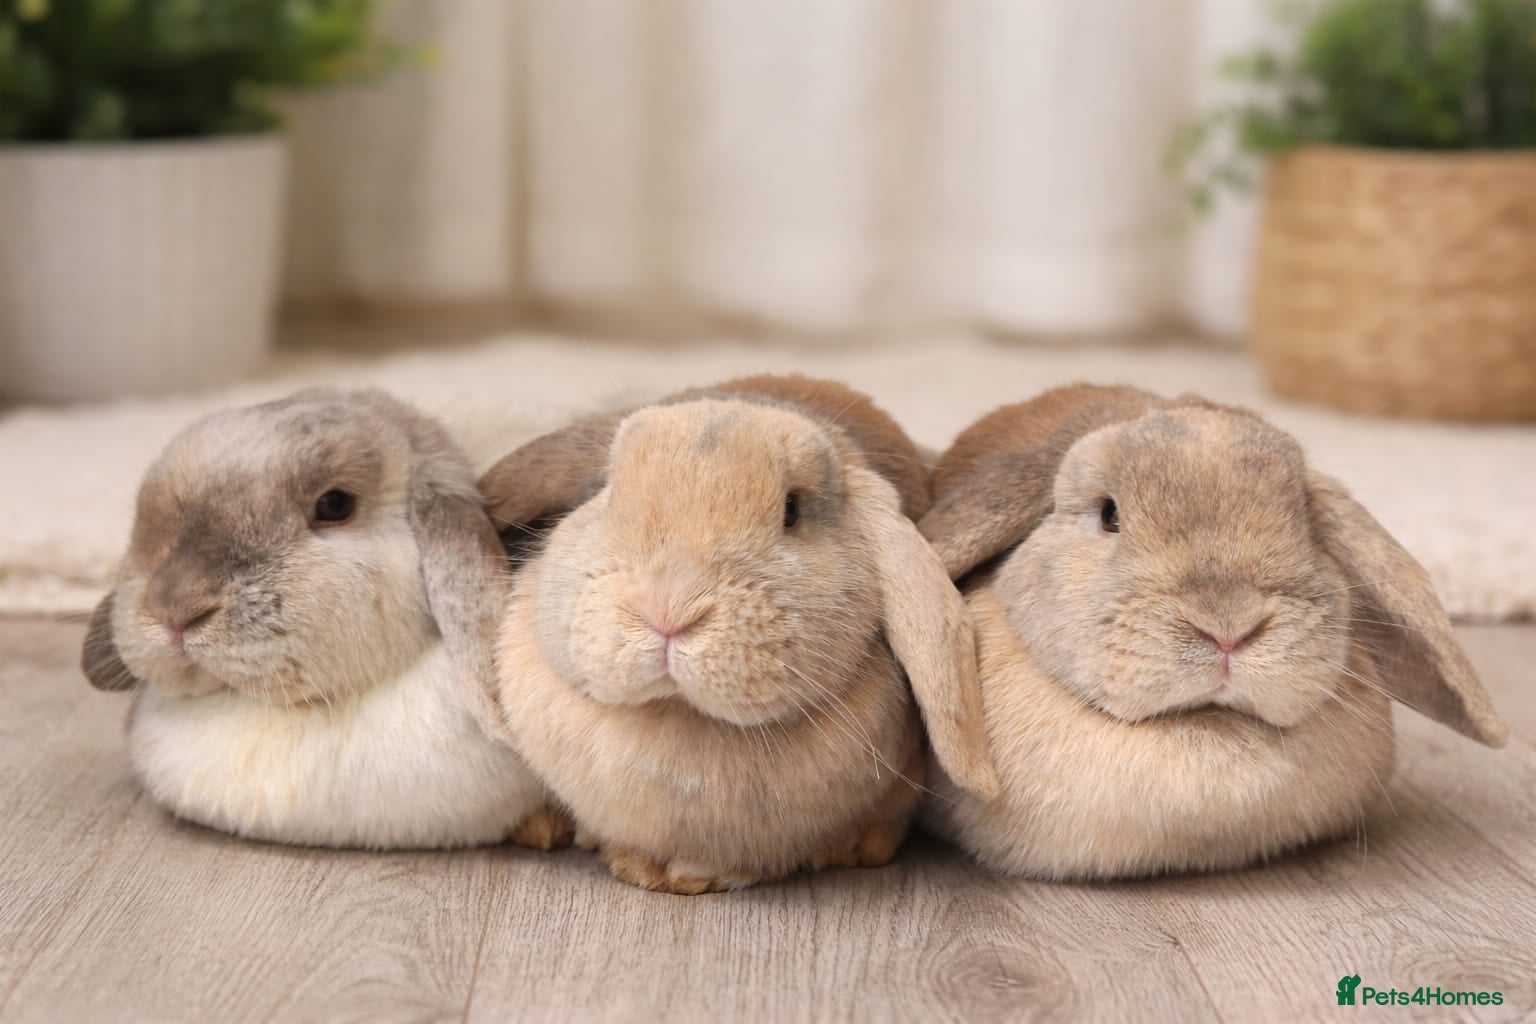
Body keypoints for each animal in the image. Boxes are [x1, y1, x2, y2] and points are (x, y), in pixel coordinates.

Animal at [477, 374, 997, 894]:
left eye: (792, 509)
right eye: (607, 492)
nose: (668, 608)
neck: (681, 718)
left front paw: (692, 876)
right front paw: (637, 866)